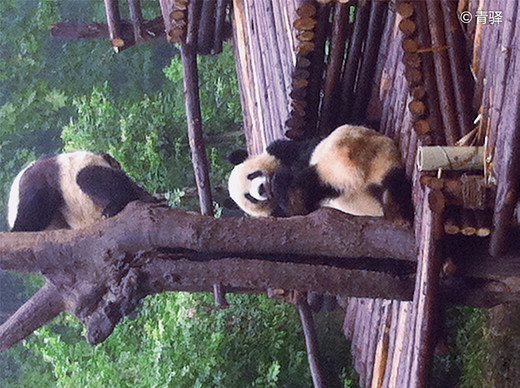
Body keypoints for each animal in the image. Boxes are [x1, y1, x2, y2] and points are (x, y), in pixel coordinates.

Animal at [230, 124, 412, 221]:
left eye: (251, 175)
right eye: (250, 197)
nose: (261, 189)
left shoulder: (282, 150)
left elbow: (297, 149)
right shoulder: (279, 213)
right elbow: (297, 209)